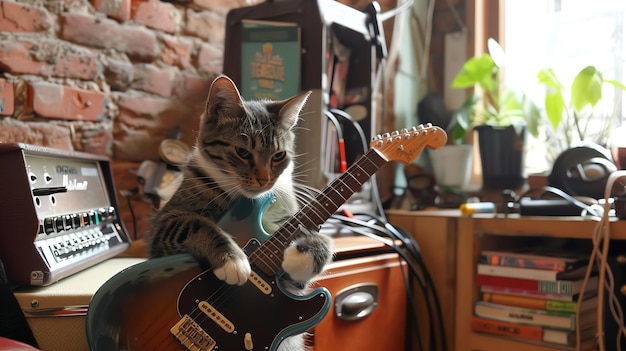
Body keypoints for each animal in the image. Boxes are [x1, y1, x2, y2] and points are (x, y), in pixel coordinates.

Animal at [144, 75, 334, 351]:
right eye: (243, 152)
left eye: (279, 156)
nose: (265, 180)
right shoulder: (163, 226)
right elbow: (199, 224)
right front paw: (232, 260)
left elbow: (309, 255)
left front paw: (309, 252)